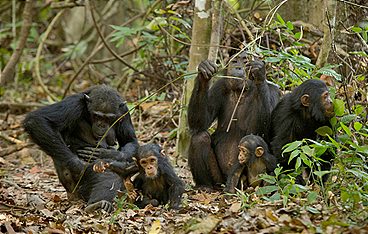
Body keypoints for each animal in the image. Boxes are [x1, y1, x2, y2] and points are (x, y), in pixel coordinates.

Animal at [23, 85, 138, 213]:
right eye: (97, 116)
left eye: (109, 118)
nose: (101, 125)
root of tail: (71, 195)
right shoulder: (73, 104)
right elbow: (37, 120)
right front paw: (79, 165)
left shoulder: (124, 112)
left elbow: (130, 140)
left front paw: (108, 153)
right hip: (77, 187)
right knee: (109, 176)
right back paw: (97, 204)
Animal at [188, 52, 280, 188]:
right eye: (235, 61)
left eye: (245, 62)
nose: (238, 67)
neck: (241, 91)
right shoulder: (219, 86)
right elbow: (200, 123)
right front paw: (204, 71)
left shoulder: (273, 91)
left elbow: (263, 133)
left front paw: (259, 72)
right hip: (219, 179)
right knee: (200, 137)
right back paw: (205, 186)